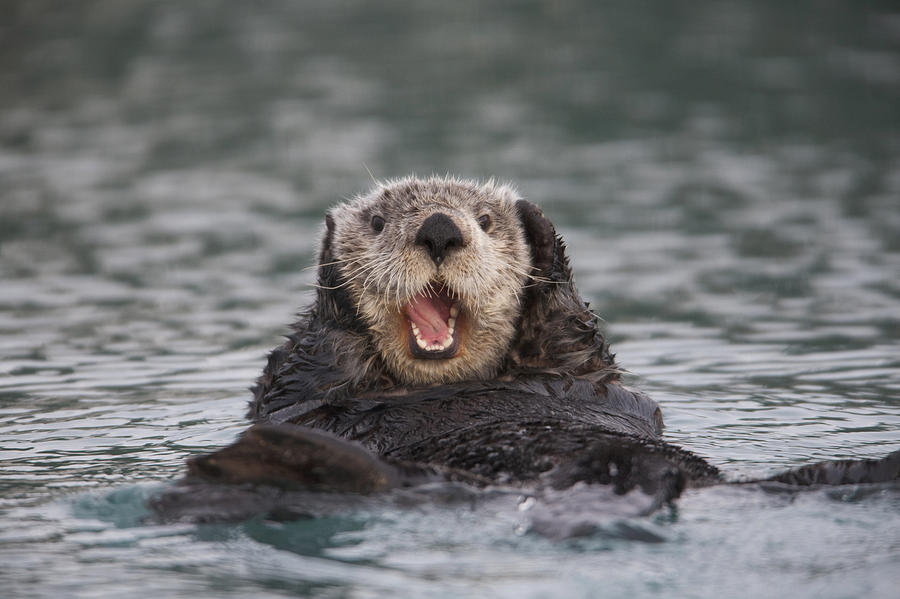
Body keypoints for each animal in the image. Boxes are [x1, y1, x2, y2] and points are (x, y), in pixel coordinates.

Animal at [151, 177, 896, 524]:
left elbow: (572, 333)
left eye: (485, 222)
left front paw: (539, 227)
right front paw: (332, 266)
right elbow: (305, 374)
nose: (441, 229)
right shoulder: (301, 391)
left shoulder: (579, 371)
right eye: (380, 220)